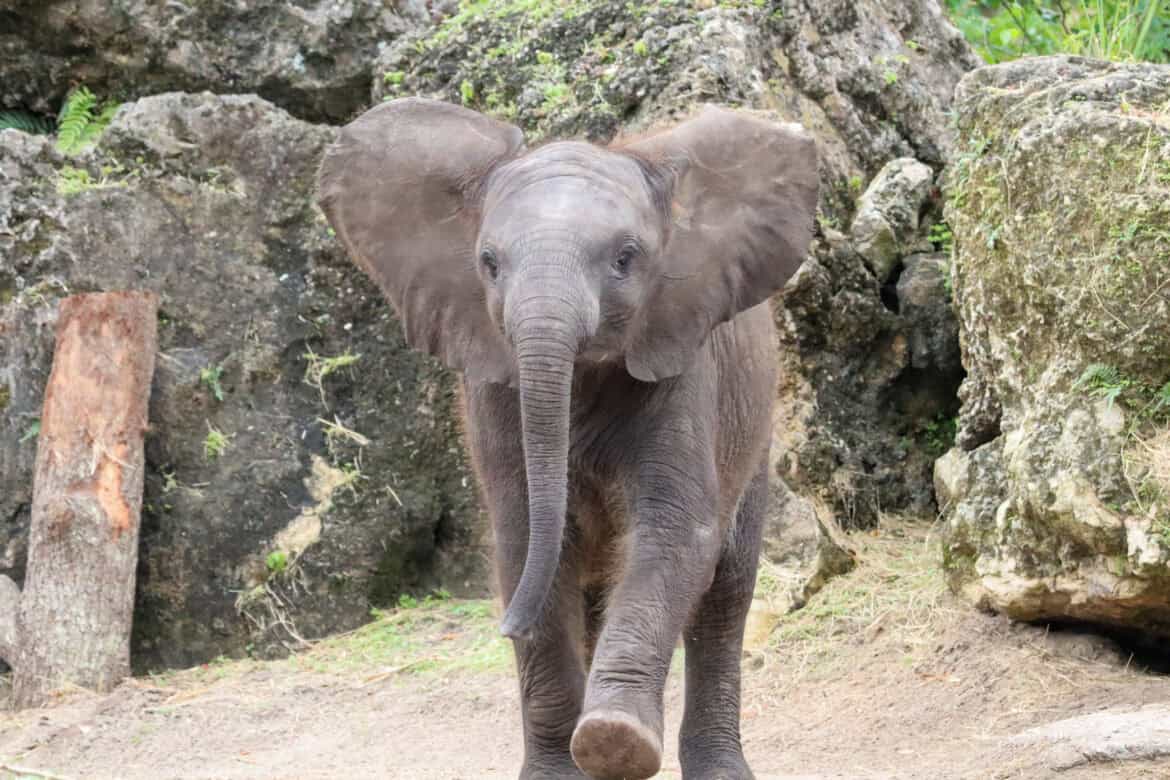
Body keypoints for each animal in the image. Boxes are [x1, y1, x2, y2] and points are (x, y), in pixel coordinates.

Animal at [315, 99, 819, 780]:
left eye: (626, 257)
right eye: (488, 262)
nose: (506, 627)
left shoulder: (684, 367)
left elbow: (676, 533)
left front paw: (614, 740)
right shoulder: (495, 389)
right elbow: (527, 541)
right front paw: (563, 768)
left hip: (755, 424)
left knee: (725, 592)